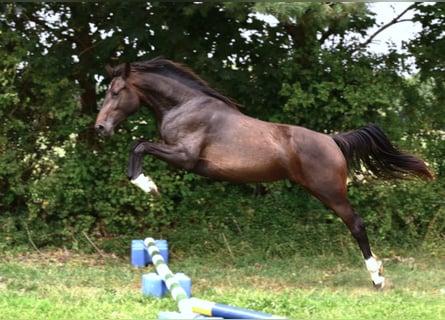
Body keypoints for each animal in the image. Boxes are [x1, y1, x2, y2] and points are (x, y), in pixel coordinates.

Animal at [94, 57, 434, 290]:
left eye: (116, 92)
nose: (100, 128)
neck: (185, 106)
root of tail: (333, 141)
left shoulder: (185, 157)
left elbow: (139, 146)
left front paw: (148, 186)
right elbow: (137, 146)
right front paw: (146, 185)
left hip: (331, 193)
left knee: (357, 225)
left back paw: (377, 277)